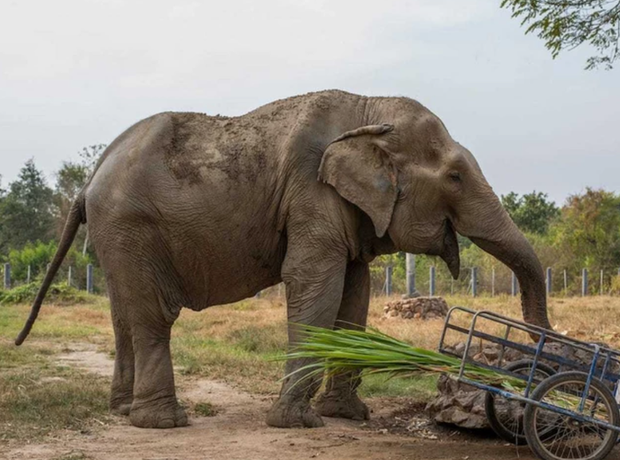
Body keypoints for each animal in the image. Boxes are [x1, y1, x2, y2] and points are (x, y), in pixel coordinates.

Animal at [14, 90, 548, 432]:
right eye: (455, 176)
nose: (530, 370)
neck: (367, 109)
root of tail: (90, 178)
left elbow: (354, 296)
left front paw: (347, 416)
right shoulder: (311, 192)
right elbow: (315, 284)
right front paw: (299, 422)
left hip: (115, 236)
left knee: (122, 314)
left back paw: (124, 413)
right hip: (130, 226)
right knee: (151, 316)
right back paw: (162, 423)